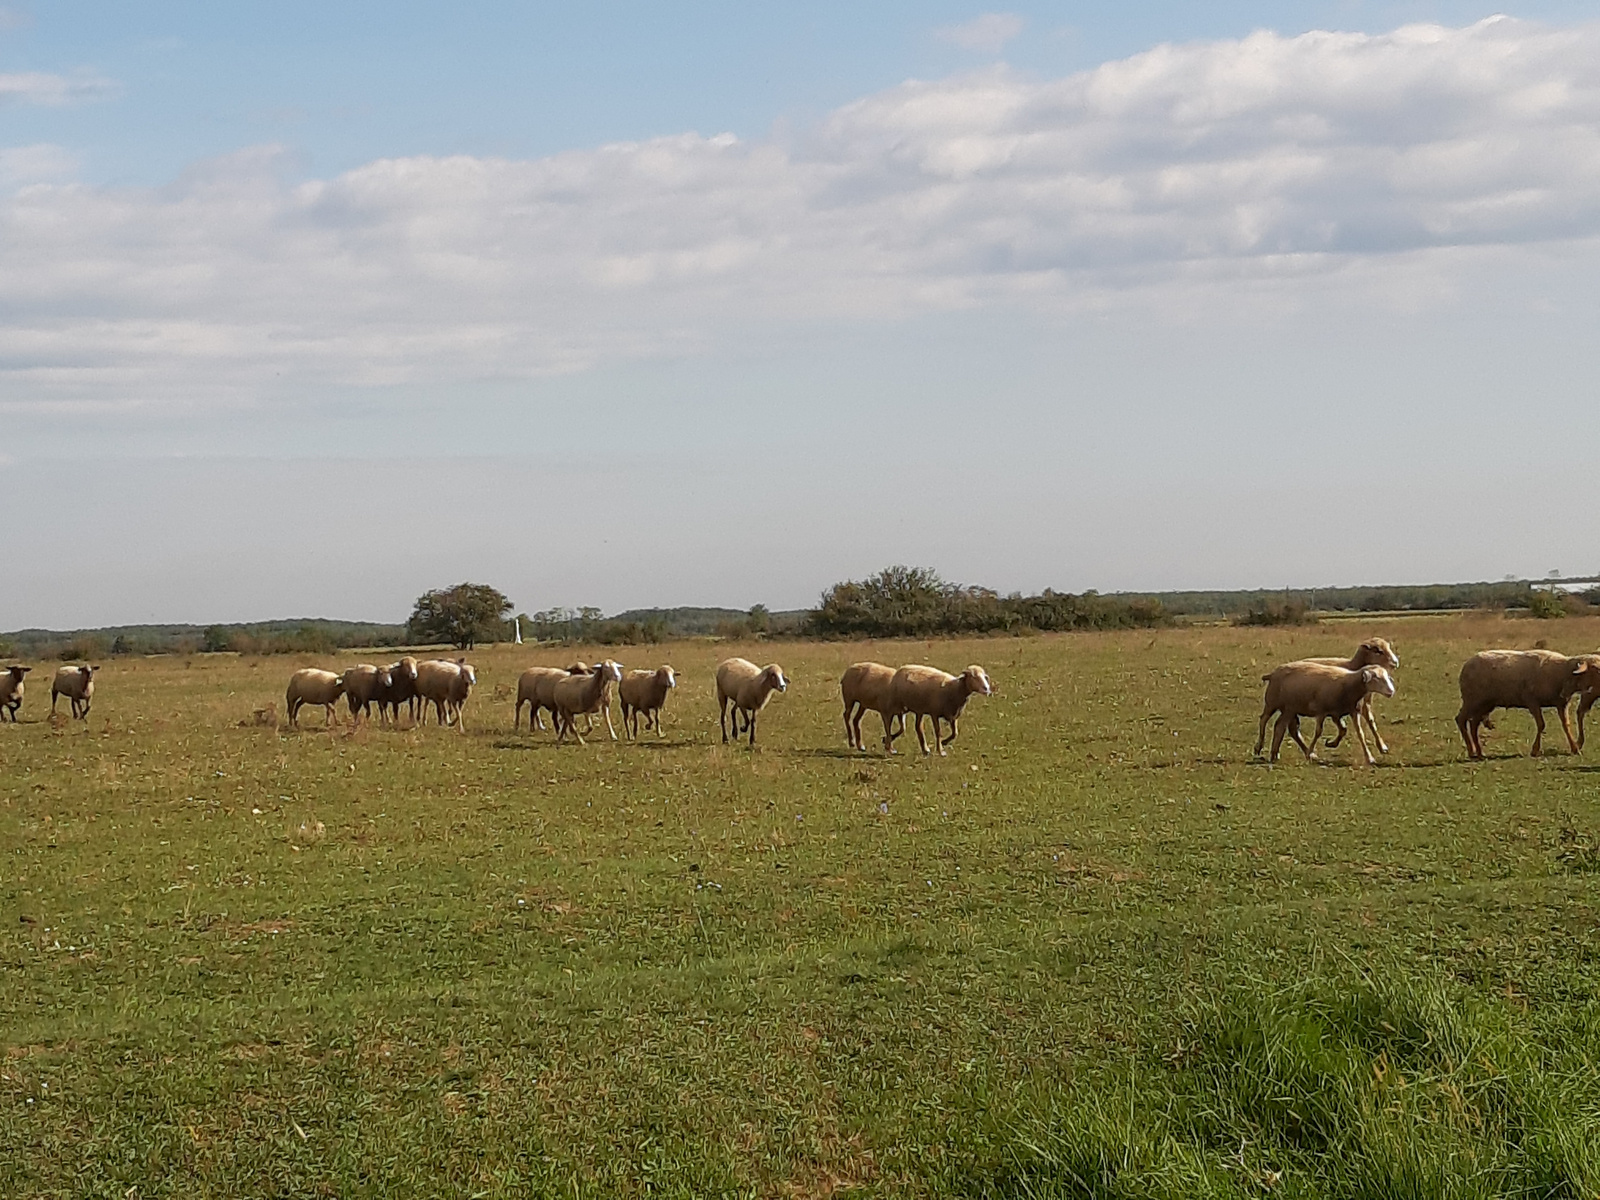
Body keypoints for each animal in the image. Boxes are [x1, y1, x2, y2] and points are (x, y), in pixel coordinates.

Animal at [1254, 662, 1395, 764]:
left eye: (1386, 677)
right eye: (1376, 678)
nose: (1391, 692)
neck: (1348, 685)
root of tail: (1272, 673)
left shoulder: (1344, 713)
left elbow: (1354, 732)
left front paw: (1368, 757)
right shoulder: (1322, 711)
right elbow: (1318, 732)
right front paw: (1310, 752)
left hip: (1290, 709)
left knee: (1282, 727)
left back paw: (1275, 753)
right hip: (1272, 702)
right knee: (1263, 720)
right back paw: (1259, 747)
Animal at [1452, 649, 1600, 761]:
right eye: (1595, 669)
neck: (1561, 673)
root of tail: (1468, 663)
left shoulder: (1561, 704)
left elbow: (1566, 725)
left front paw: (1575, 748)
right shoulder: (1532, 702)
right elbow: (1541, 725)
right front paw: (1535, 750)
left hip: (1485, 704)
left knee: (1473, 724)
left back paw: (1479, 752)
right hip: (1472, 701)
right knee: (1460, 719)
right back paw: (1471, 751)